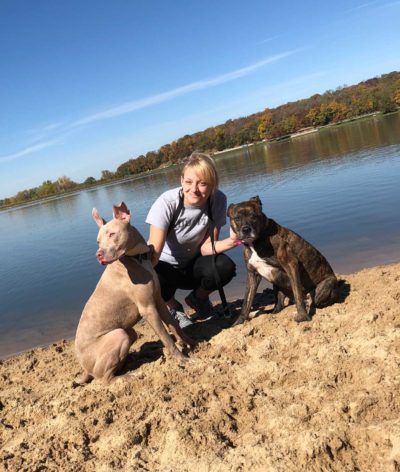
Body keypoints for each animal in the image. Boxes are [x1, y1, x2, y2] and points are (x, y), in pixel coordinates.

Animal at [76, 202, 195, 384]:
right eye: (98, 241)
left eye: (112, 234)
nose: (98, 255)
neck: (136, 258)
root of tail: (85, 369)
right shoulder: (148, 308)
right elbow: (166, 337)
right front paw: (182, 359)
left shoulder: (158, 300)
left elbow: (174, 326)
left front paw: (190, 342)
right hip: (118, 335)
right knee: (105, 380)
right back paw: (130, 376)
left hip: (129, 332)